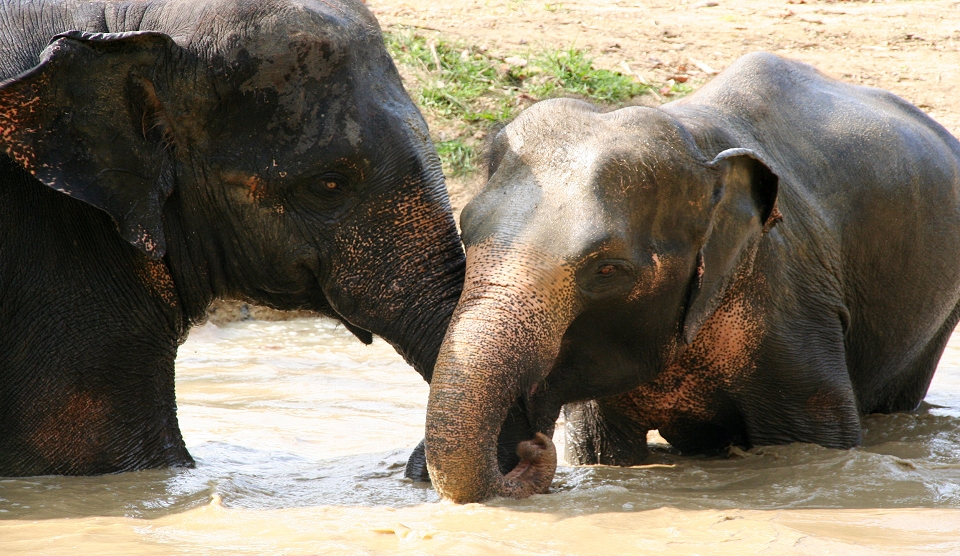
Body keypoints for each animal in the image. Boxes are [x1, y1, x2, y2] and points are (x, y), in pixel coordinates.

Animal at [422, 53, 960, 504]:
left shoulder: (792, 306)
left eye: (608, 269)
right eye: (465, 232)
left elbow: (813, 440)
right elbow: (602, 450)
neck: (696, 140)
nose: (532, 443)